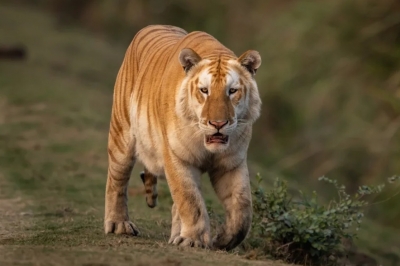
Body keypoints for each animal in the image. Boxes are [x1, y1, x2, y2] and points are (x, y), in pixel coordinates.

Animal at [104, 23, 262, 250]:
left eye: (232, 91)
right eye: (204, 90)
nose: (218, 124)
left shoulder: (232, 163)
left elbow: (242, 207)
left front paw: (223, 240)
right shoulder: (177, 157)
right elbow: (190, 200)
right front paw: (193, 240)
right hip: (121, 135)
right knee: (117, 179)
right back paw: (119, 224)